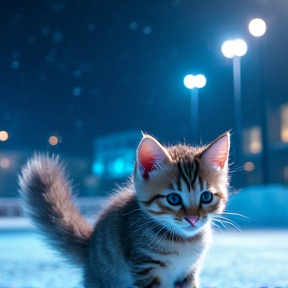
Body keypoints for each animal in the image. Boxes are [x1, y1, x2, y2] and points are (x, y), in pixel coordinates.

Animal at [18, 133, 230, 288]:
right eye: (174, 199)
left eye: (206, 197)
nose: (193, 218)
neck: (184, 241)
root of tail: (89, 247)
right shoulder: (145, 269)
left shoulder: (188, 273)